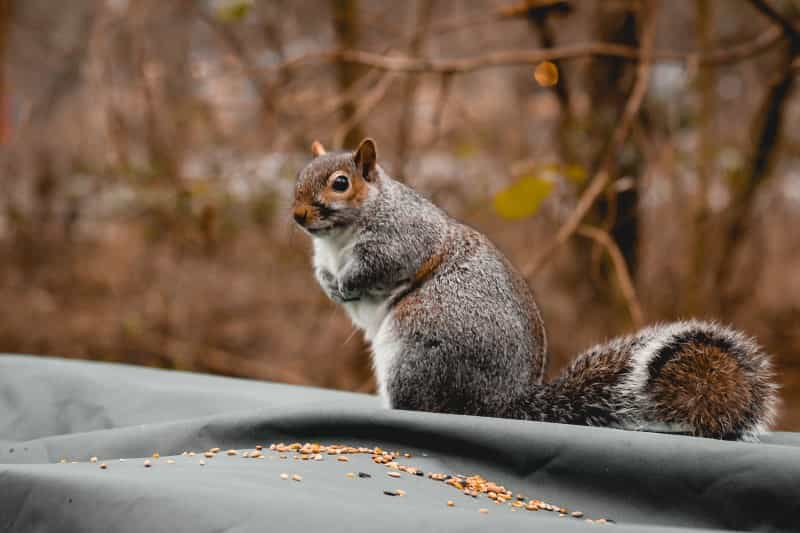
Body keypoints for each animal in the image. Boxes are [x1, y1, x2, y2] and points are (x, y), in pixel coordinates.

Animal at [290, 137, 780, 440]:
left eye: (340, 183)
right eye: (299, 176)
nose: (297, 215)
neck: (336, 240)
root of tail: (505, 404)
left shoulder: (402, 239)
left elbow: (380, 265)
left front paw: (348, 284)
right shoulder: (323, 256)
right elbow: (322, 273)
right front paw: (331, 286)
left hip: (418, 346)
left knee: (424, 404)